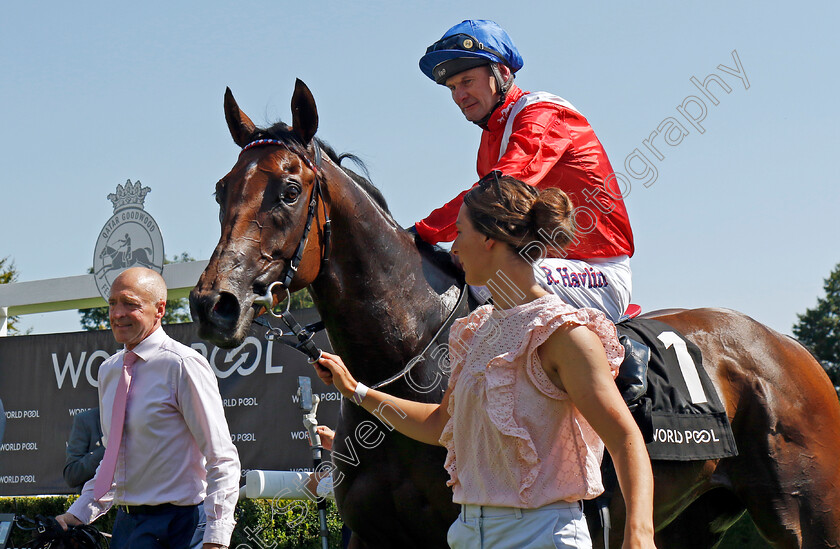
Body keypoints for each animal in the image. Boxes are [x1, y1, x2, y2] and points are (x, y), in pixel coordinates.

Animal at [189, 80, 840, 548]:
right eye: (221, 189)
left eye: (288, 190)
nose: (213, 304)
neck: (415, 355)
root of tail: (793, 350)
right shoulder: (374, 537)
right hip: (693, 520)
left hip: (809, 518)